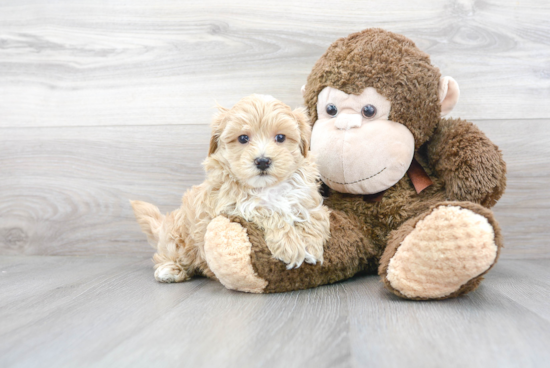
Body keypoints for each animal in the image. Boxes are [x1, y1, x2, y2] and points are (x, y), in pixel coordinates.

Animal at [133, 94, 332, 282]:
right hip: (177, 238)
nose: (262, 161)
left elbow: (312, 215)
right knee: (169, 255)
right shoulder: (232, 205)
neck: (267, 188)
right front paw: (290, 245)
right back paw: (170, 270)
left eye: (280, 137)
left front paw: (311, 245)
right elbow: (268, 211)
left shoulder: (307, 196)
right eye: (243, 138)